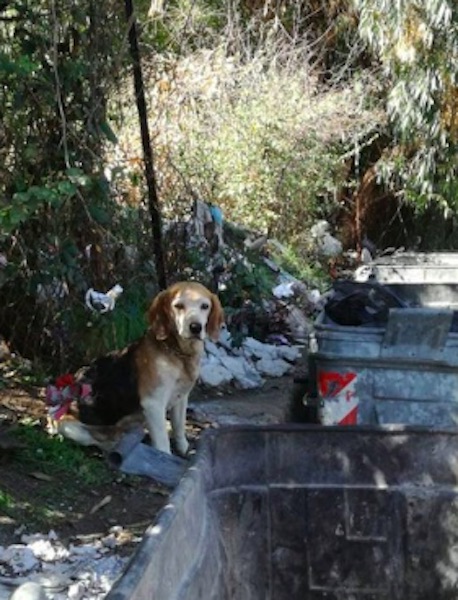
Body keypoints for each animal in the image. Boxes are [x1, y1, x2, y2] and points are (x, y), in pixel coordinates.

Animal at [58, 282, 225, 454]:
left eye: (205, 306)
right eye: (179, 306)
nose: (195, 327)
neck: (178, 354)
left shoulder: (181, 399)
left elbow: (179, 428)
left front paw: (184, 449)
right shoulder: (153, 404)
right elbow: (163, 444)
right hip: (67, 426)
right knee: (100, 439)